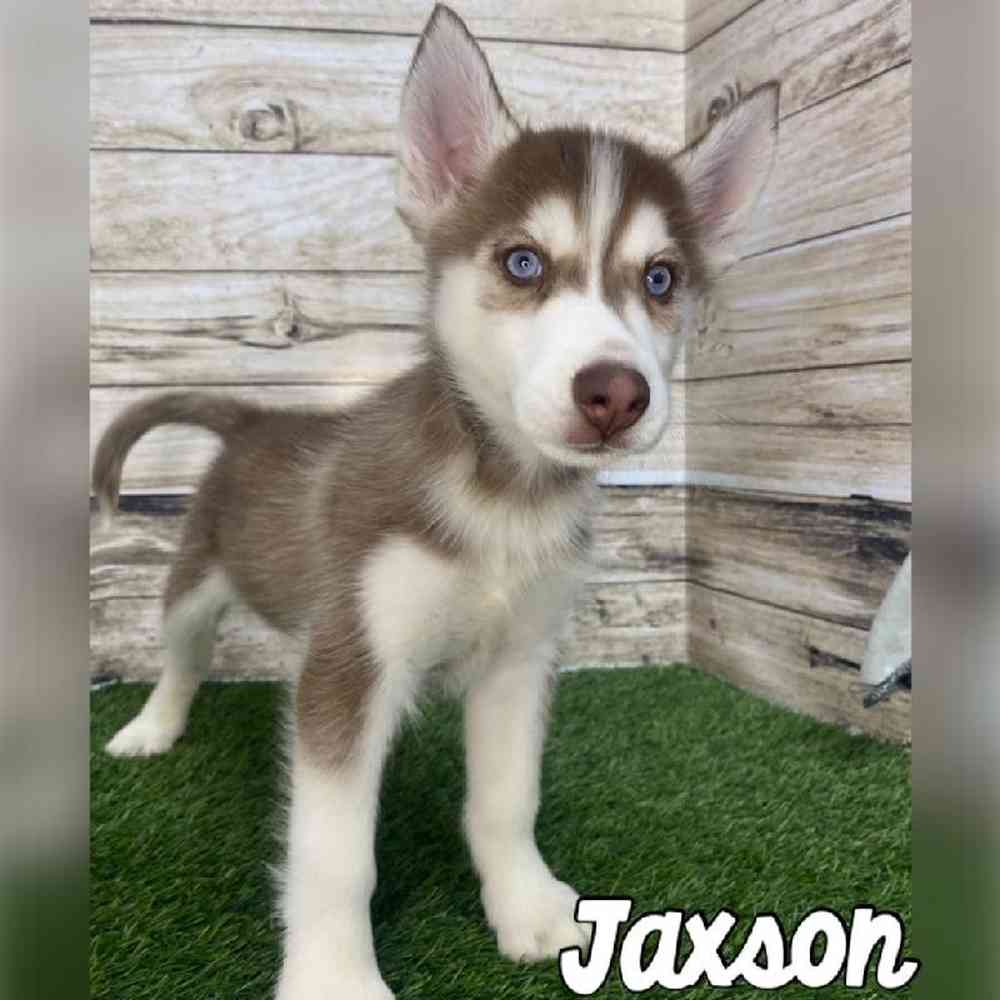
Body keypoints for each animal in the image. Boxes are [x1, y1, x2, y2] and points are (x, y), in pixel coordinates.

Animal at [93, 6, 778, 997]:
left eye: (661, 279)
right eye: (523, 263)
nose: (615, 393)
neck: (504, 496)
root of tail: (260, 416)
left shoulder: (521, 660)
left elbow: (506, 800)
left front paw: (524, 905)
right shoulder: (350, 665)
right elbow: (335, 852)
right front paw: (335, 977)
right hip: (194, 582)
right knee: (181, 657)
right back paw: (152, 728)